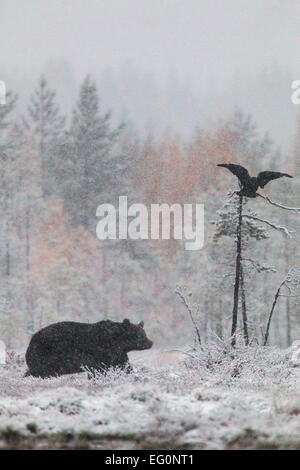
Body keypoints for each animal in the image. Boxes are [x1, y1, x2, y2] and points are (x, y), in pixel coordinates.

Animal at [24, 318, 152, 380]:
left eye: (144, 333)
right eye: (139, 335)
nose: (150, 342)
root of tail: (31, 341)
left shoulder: (117, 353)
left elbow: (123, 365)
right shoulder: (104, 351)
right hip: (47, 355)